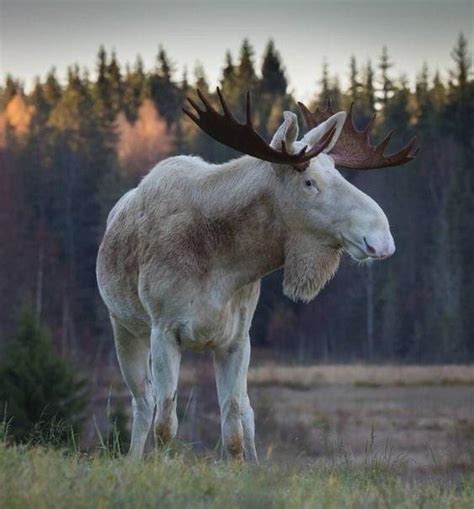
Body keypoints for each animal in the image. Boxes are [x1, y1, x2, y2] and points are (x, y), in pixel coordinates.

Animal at [95, 89, 414, 462]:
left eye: (340, 175)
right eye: (309, 182)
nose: (382, 237)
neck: (222, 267)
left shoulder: (237, 338)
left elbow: (233, 425)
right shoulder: (164, 329)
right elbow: (165, 423)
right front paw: (158, 466)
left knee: (247, 412)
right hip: (124, 326)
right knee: (142, 402)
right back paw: (133, 458)